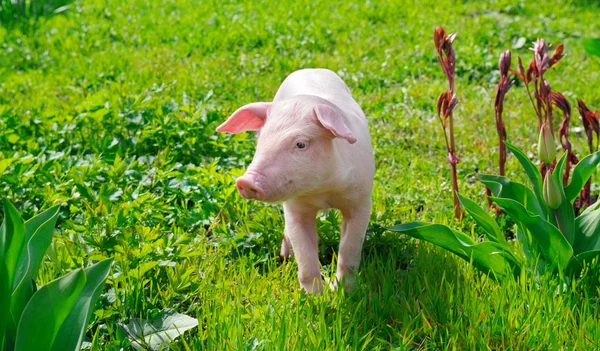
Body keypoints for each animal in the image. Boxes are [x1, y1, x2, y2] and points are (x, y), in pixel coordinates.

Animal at [216, 69, 376, 294]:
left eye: (301, 144)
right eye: (260, 140)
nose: (245, 181)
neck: (323, 191)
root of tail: (312, 69)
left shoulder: (361, 200)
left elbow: (350, 249)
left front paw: (344, 291)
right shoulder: (295, 208)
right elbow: (305, 255)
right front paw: (314, 297)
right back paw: (285, 255)